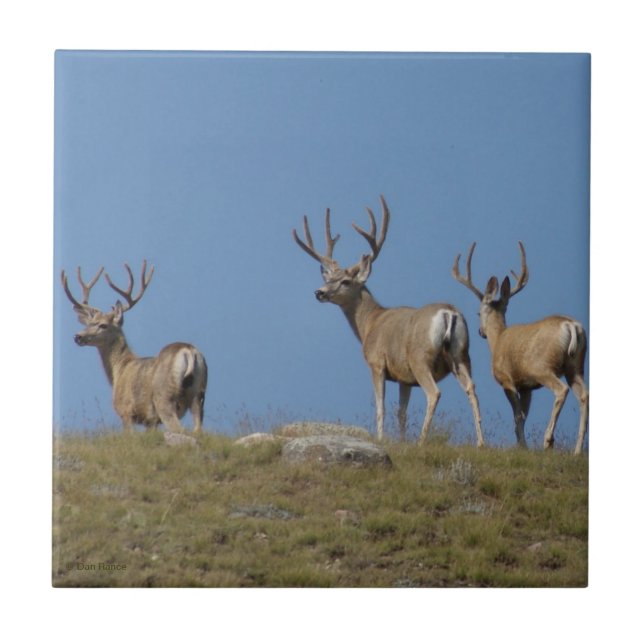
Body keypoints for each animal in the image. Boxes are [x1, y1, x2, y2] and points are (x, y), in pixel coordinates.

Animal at [61, 260, 208, 434]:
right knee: (198, 429)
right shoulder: (151, 421)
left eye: (103, 325)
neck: (120, 369)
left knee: (179, 428)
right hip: (199, 395)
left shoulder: (125, 410)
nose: (77, 336)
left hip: (165, 397)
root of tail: (188, 351)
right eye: (89, 323)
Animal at [293, 195, 485, 447]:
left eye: (345, 281)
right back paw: (481, 443)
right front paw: (401, 440)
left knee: (434, 393)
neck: (369, 324)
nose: (319, 292)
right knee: (472, 388)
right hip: (461, 354)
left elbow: (380, 407)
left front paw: (382, 438)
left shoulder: (377, 362)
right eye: (329, 278)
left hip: (420, 357)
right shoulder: (404, 377)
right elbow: (401, 412)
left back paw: (422, 441)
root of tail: (448, 312)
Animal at [452, 241, 588, 455]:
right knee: (584, 395)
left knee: (561, 390)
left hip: (543, 367)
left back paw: (548, 440)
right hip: (575, 366)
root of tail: (571, 326)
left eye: (478, 313)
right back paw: (577, 450)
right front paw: (522, 445)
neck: (497, 340)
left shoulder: (507, 380)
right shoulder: (526, 386)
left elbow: (517, 416)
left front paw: (522, 446)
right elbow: (523, 416)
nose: (481, 331)